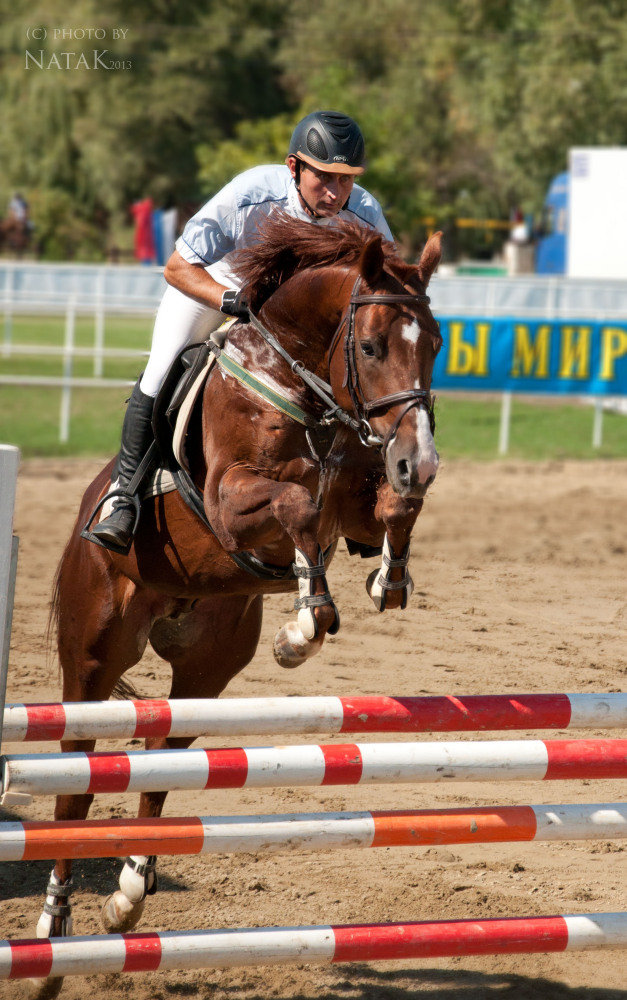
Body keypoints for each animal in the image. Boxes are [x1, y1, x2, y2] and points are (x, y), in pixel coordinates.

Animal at [34, 211, 444, 992]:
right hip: (93, 657)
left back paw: (128, 895)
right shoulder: (232, 501)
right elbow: (296, 506)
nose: (422, 458)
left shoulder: (356, 499)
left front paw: (386, 579)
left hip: (206, 667)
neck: (306, 387)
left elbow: (388, 507)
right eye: (371, 346)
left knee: (163, 756)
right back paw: (51, 935)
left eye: (435, 344)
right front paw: (306, 623)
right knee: (76, 782)